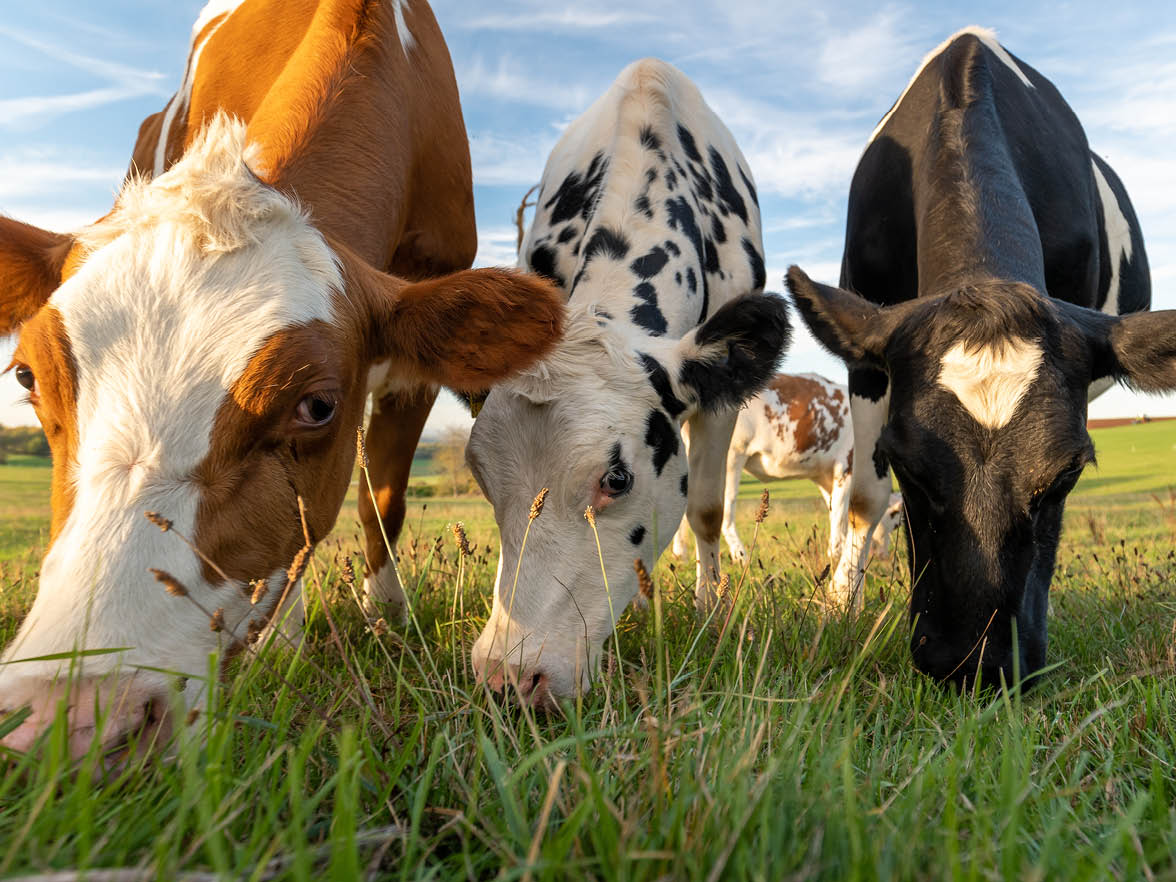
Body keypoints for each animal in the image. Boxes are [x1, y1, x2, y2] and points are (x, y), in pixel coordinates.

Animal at [0, 0, 564, 758]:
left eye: (317, 405)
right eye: (29, 377)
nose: (70, 721)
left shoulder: (415, 354)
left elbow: (379, 500)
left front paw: (386, 617)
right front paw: (285, 643)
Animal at [465, 58, 792, 706]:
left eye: (616, 479)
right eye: (482, 478)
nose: (507, 677)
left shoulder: (720, 400)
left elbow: (707, 508)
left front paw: (711, 614)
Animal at [669, 372, 903, 567]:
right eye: (893, 516)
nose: (883, 555)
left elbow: (837, 511)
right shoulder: (847, 464)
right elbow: (840, 512)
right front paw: (836, 554)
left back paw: (681, 554)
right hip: (731, 455)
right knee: (726, 503)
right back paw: (740, 555)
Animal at [786, 26, 1176, 688]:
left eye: (1069, 472)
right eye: (906, 464)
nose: (975, 666)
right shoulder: (865, 353)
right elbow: (865, 499)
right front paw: (839, 607)